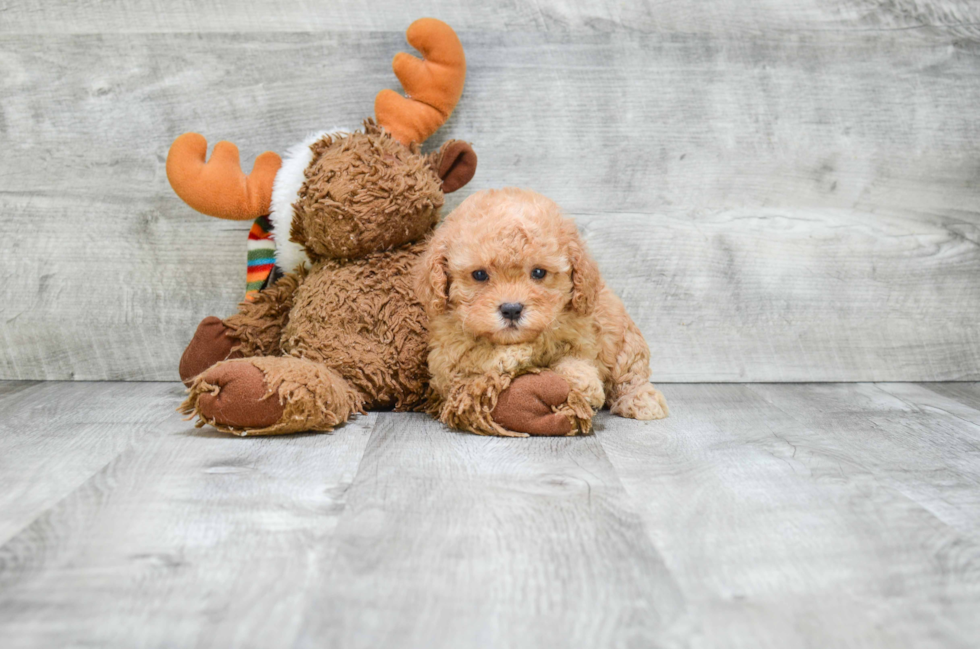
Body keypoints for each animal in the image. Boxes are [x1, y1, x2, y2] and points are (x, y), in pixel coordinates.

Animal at [414, 187, 668, 436]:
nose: (511, 310)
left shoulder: (584, 335)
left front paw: (585, 384)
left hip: (625, 340)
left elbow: (573, 357)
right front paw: (520, 353)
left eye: (538, 272)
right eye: (479, 274)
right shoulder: (447, 360)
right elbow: (480, 353)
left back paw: (642, 400)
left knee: (631, 373)